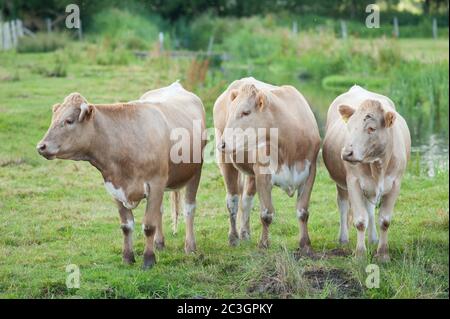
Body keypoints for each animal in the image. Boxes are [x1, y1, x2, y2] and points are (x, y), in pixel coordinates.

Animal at [37, 81, 206, 268]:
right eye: (53, 120)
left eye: (69, 120)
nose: (41, 146)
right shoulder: (114, 187)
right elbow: (126, 226)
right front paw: (127, 257)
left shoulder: (156, 183)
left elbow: (148, 225)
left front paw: (148, 260)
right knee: (160, 211)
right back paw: (159, 243)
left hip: (195, 172)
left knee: (188, 208)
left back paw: (190, 247)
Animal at [214, 77, 320, 252]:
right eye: (231, 112)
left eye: (246, 112)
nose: (222, 143)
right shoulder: (263, 174)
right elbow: (266, 214)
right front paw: (263, 244)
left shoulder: (310, 171)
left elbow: (303, 211)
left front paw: (305, 244)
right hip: (226, 162)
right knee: (232, 201)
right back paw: (233, 237)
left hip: (251, 172)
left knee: (246, 200)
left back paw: (245, 233)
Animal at [322, 85, 410, 262]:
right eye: (349, 127)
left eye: (371, 128)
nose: (347, 153)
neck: (377, 166)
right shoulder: (353, 182)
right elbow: (360, 221)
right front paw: (360, 255)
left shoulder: (396, 183)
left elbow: (384, 220)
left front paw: (383, 254)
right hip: (342, 184)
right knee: (343, 205)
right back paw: (343, 238)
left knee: (369, 208)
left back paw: (373, 238)